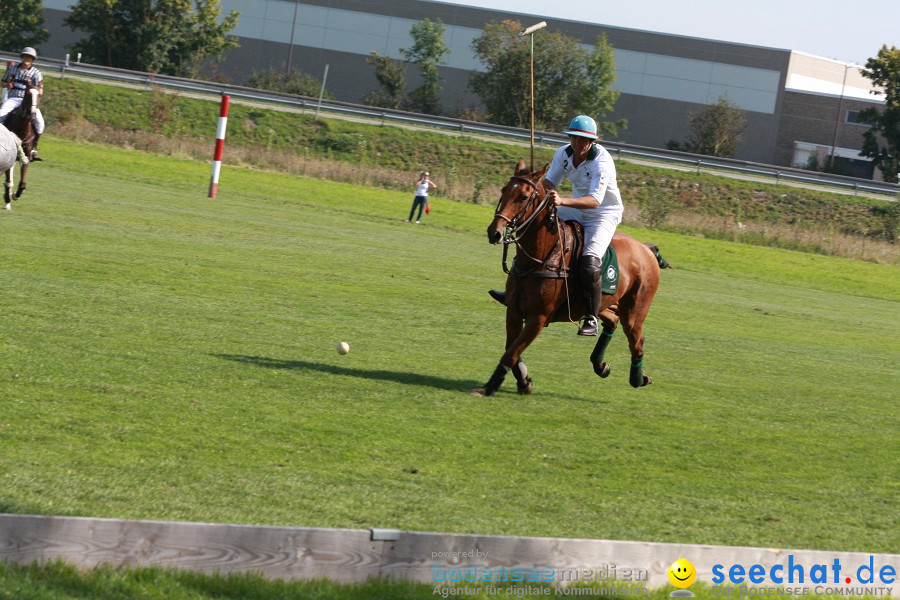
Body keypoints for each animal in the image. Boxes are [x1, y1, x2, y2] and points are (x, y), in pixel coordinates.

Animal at [472, 159, 668, 396]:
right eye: (504, 190)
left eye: (524, 197)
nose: (495, 232)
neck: (540, 258)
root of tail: (646, 249)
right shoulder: (514, 311)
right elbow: (511, 348)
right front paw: (524, 380)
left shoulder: (538, 317)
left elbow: (511, 352)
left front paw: (490, 386)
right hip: (604, 303)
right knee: (612, 320)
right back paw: (601, 365)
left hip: (635, 310)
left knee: (637, 341)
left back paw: (638, 378)